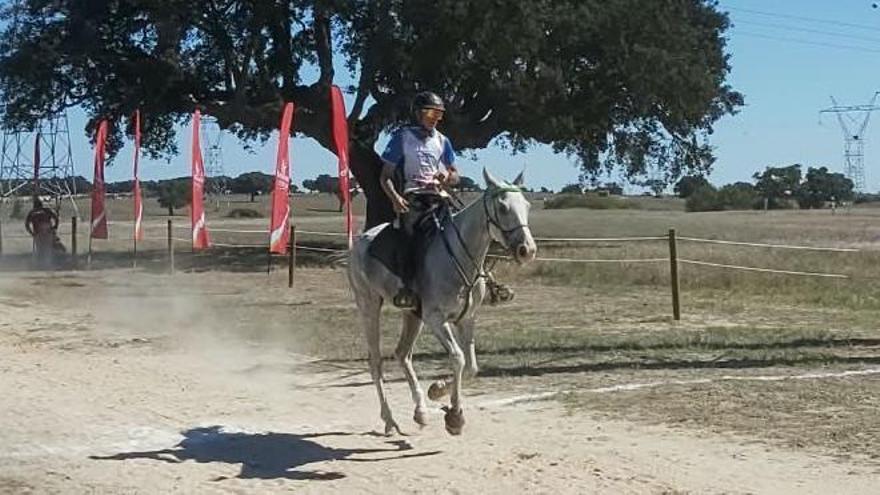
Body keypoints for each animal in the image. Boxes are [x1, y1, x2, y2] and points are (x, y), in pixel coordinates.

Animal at [347, 168, 537, 435]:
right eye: (502, 207)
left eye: (527, 206)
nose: (527, 250)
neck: (458, 257)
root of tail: (359, 242)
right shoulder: (436, 318)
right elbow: (458, 357)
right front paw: (454, 415)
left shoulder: (466, 319)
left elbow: (471, 366)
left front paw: (437, 391)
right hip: (369, 306)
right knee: (376, 361)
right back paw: (390, 420)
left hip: (412, 314)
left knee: (403, 354)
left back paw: (420, 411)